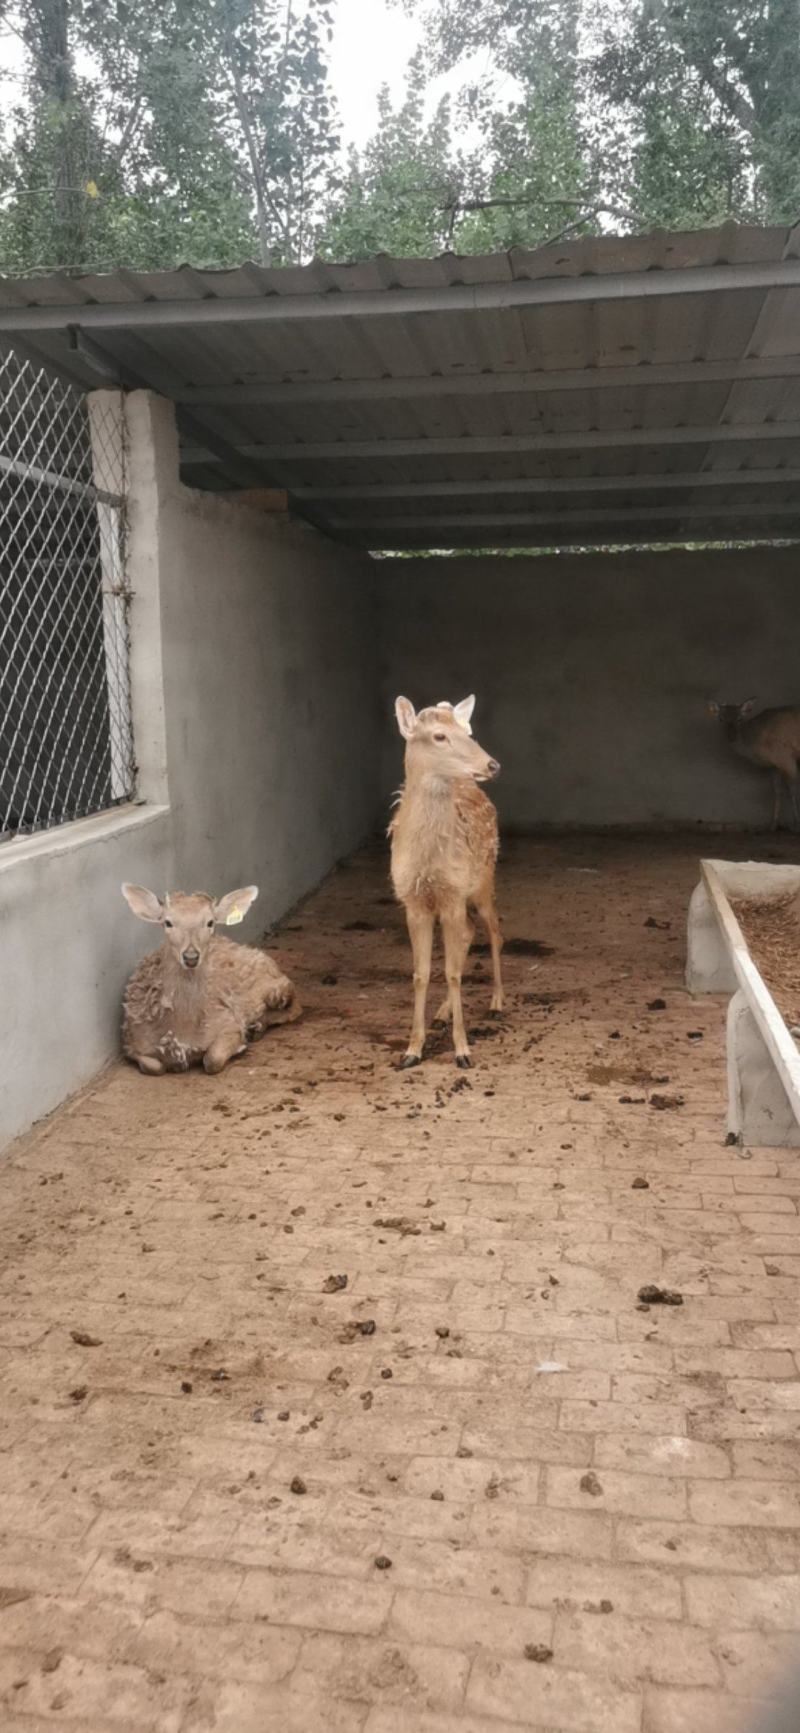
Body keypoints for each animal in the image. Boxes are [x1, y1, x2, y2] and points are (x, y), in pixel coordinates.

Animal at [121, 883, 297, 1074]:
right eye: (167, 922)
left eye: (210, 922)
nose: (191, 957)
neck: (183, 1030)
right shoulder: (131, 1042)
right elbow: (154, 1066)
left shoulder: (228, 1023)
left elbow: (213, 1060)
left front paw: (240, 1046)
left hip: (277, 988)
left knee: (294, 1006)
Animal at [389, 694, 503, 1069]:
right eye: (439, 736)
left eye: (468, 732)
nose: (492, 764)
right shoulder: (412, 900)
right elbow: (421, 973)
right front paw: (412, 1049)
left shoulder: (453, 893)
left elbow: (452, 972)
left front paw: (463, 1050)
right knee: (469, 931)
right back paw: (442, 1012)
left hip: (483, 879)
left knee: (494, 930)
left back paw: (497, 1002)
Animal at [706, 699, 800, 831]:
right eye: (721, 719)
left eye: (740, 719)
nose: (731, 737)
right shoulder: (772, 765)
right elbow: (777, 791)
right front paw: (773, 825)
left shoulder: (786, 757)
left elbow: (792, 790)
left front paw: (796, 825)